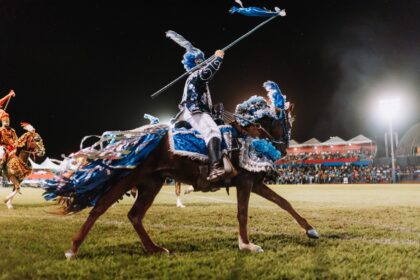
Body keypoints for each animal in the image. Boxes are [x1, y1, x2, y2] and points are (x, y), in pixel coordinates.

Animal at [60, 100, 318, 258]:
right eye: (289, 120)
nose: (284, 146)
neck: (249, 135)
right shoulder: (245, 182)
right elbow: (243, 213)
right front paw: (246, 245)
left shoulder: (254, 183)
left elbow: (284, 203)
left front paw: (311, 230)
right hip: (128, 177)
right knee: (100, 207)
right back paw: (73, 248)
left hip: (152, 183)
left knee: (135, 215)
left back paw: (154, 248)